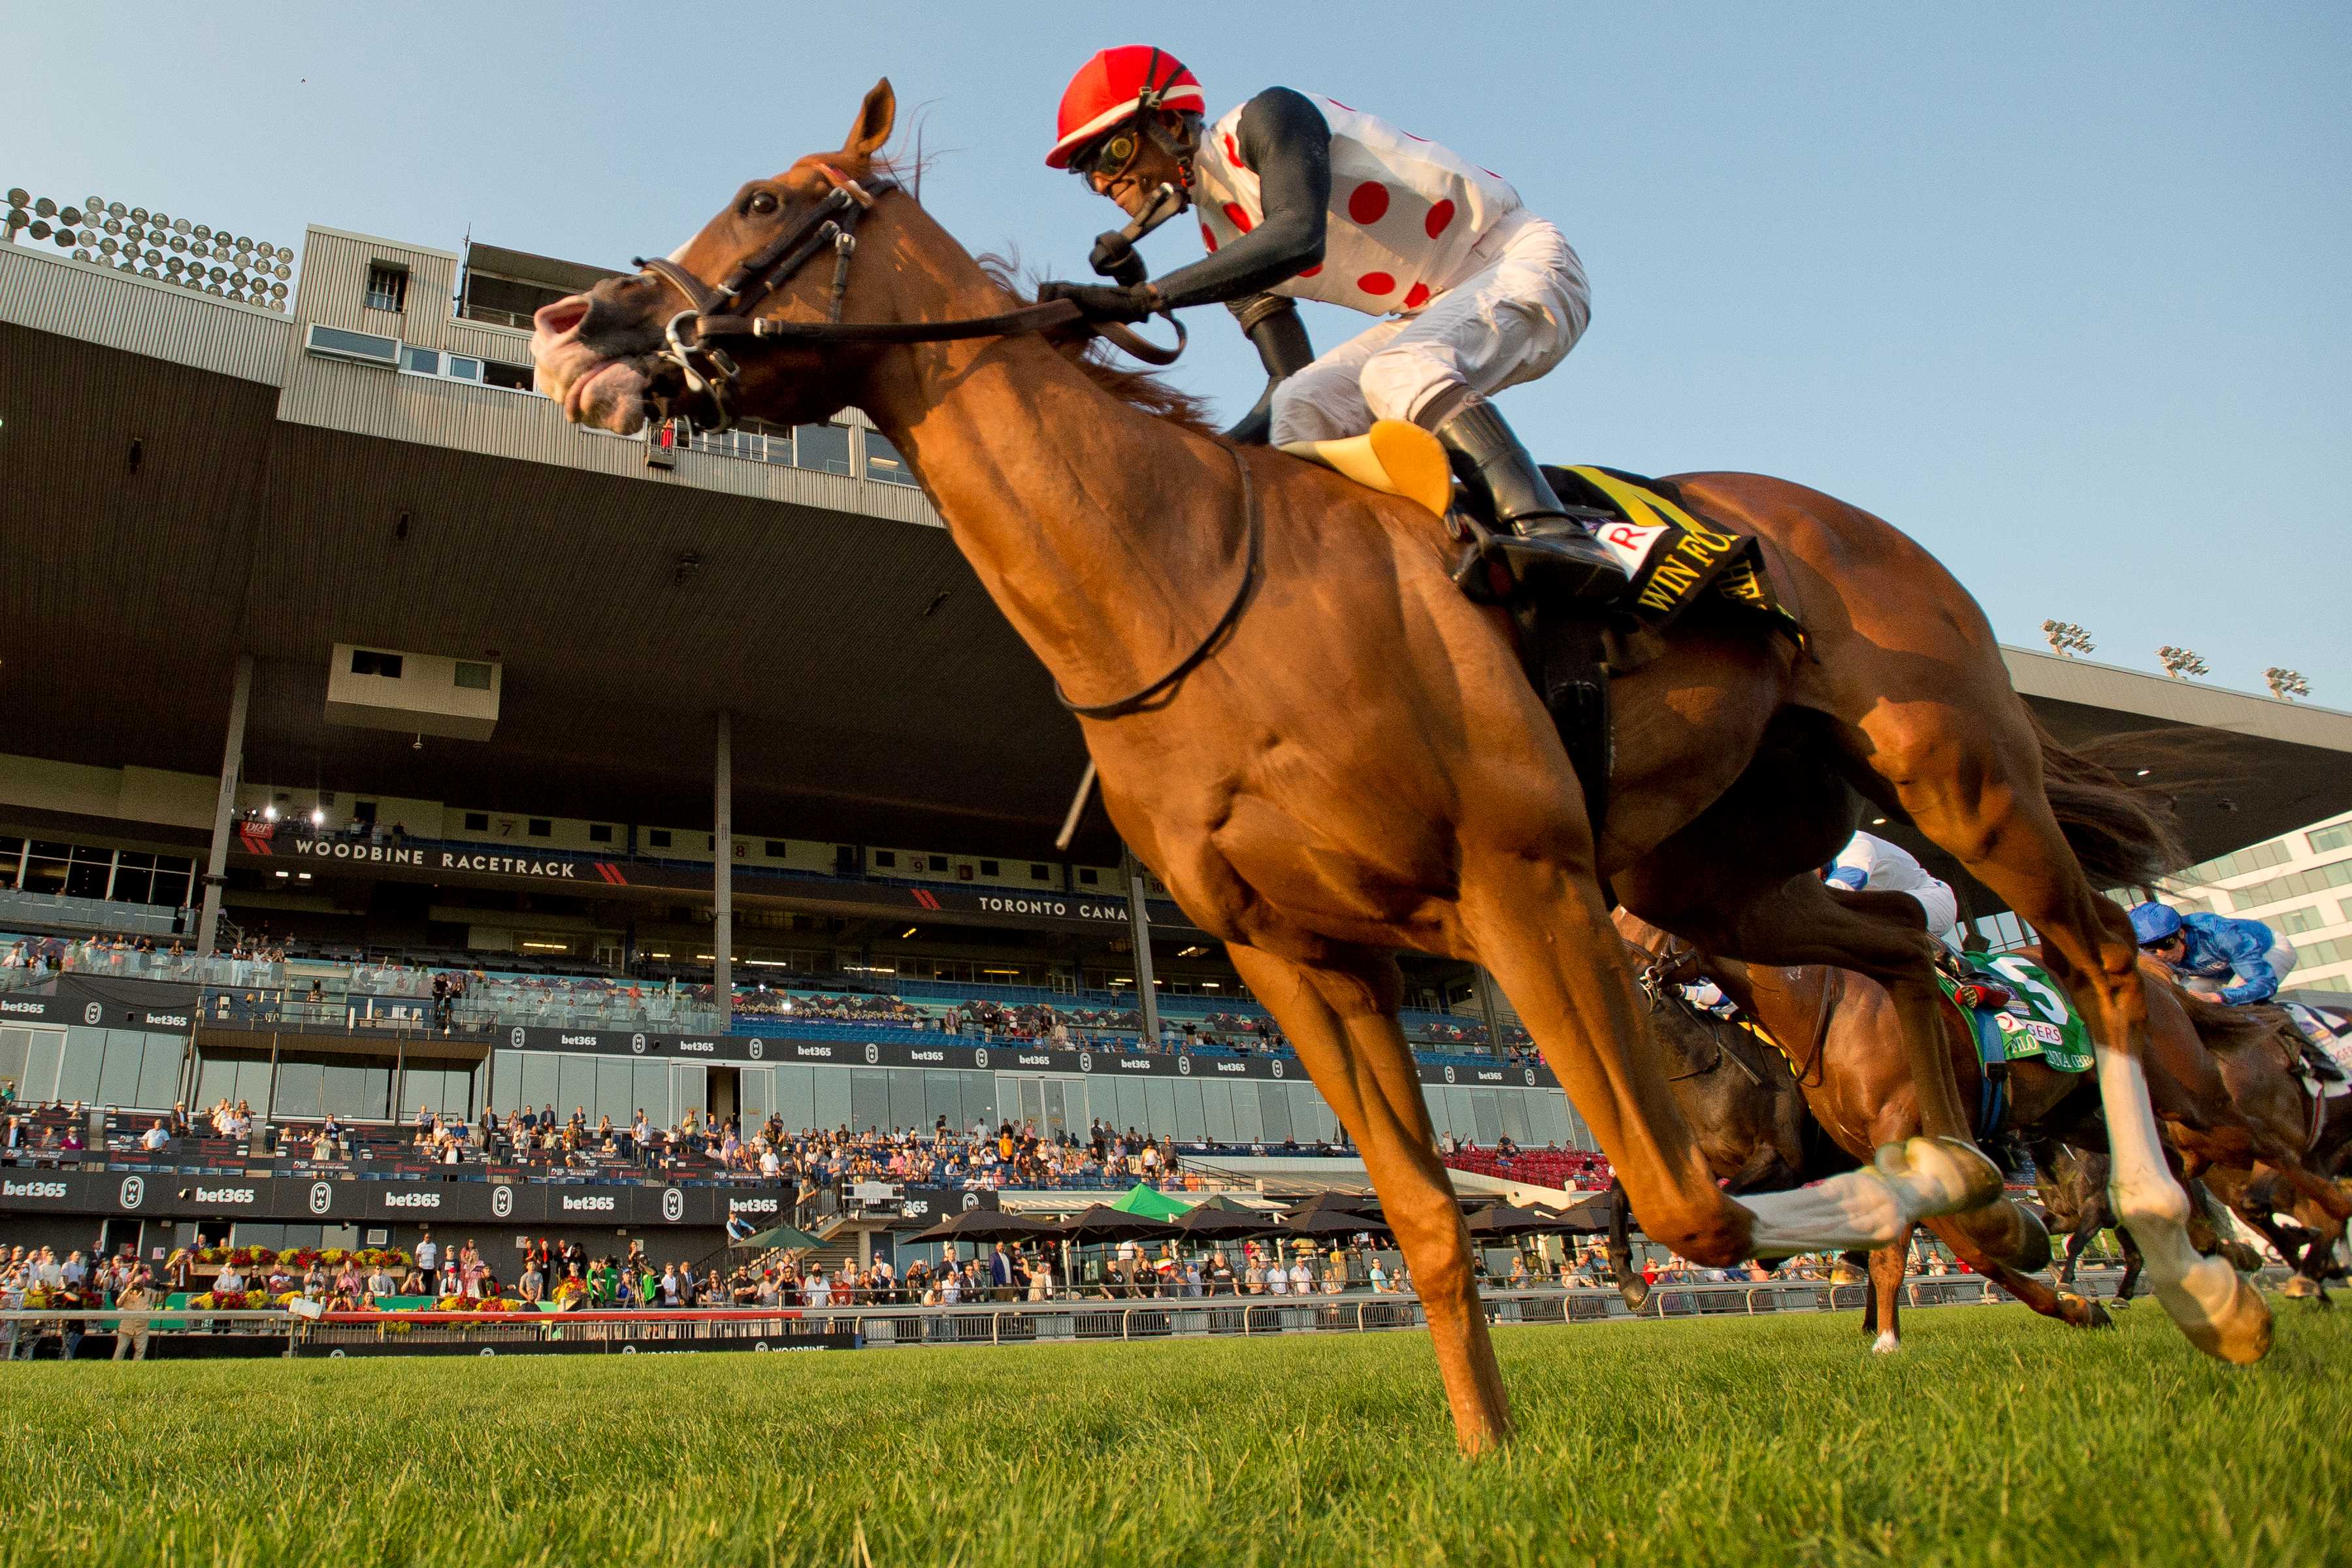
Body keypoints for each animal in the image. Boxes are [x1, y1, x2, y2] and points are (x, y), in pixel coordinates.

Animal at [541, 73, 2267, 1448]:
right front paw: (1492, 1455)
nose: (570, 330)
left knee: (2100, 955)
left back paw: (2194, 1269)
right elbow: (1433, 1217)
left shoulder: (1522, 885)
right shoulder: (1298, 954)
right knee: (1901, 937)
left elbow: (1679, 1201)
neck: (1190, 575)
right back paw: (1989, 1176)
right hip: (1714, 873)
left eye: (764, 200)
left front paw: (1981, 1204)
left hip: (1952, 766)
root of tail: (1856, 525)